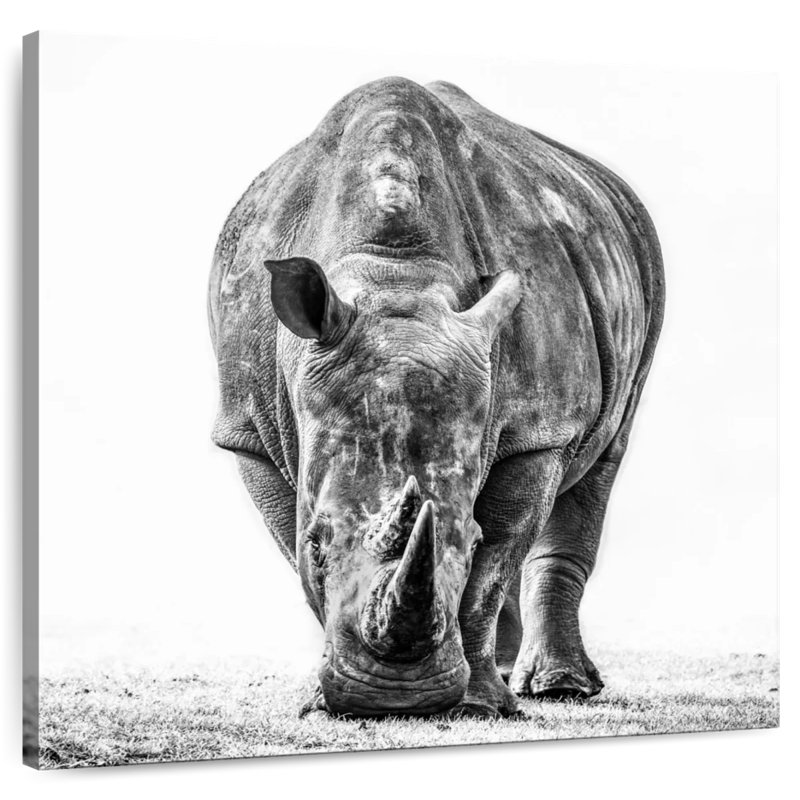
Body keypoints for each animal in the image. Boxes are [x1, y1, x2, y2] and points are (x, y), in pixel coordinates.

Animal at [208, 77, 664, 718]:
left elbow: (493, 562)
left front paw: (476, 703)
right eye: (317, 543)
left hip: (640, 267)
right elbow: (290, 544)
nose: (395, 698)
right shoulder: (246, 429)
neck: (394, 273)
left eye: (467, 542)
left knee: (604, 455)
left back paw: (557, 688)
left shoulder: (539, 430)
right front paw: (319, 699)